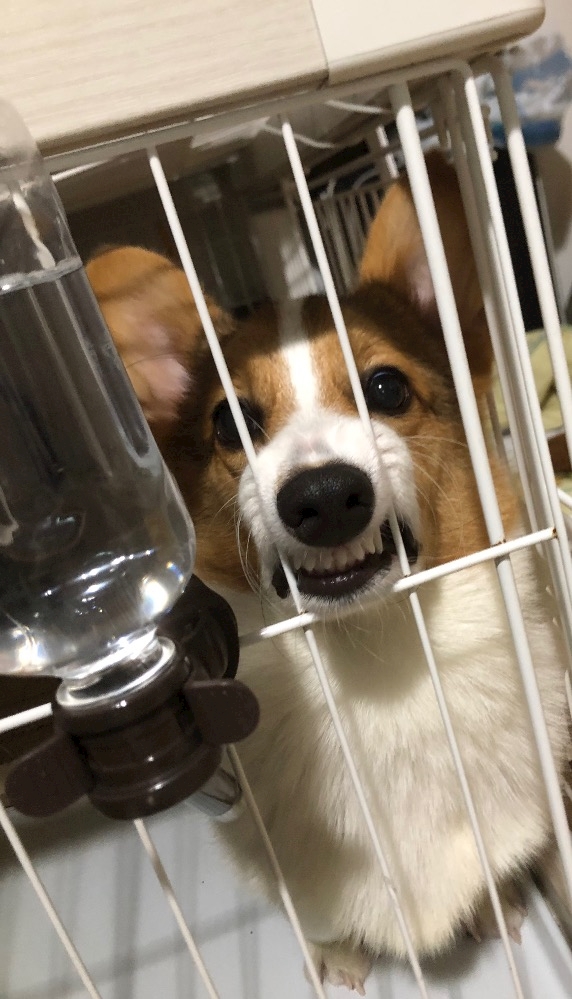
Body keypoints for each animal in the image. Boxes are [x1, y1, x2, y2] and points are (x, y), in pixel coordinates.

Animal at [86, 154, 569, 994]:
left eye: (387, 388)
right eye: (231, 422)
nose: (323, 497)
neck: (373, 655)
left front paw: (495, 904)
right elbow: (327, 917)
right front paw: (340, 955)